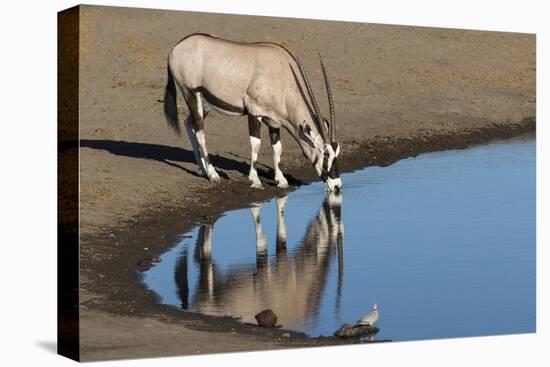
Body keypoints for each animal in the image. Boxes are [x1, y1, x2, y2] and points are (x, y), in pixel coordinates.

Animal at [164, 33, 342, 193]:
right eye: (326, 155)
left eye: (337, 154)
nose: (337, 185)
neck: (282, 73)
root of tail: (175, 48)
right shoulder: (254, 113)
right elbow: (255, 144)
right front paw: (255, 180)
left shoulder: (274, 121)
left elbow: (277, 148)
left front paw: (281, 180)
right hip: (191, 94)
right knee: (200, 133)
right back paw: (213, 174)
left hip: (204, 103)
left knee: (189, 124)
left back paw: (202, 169)